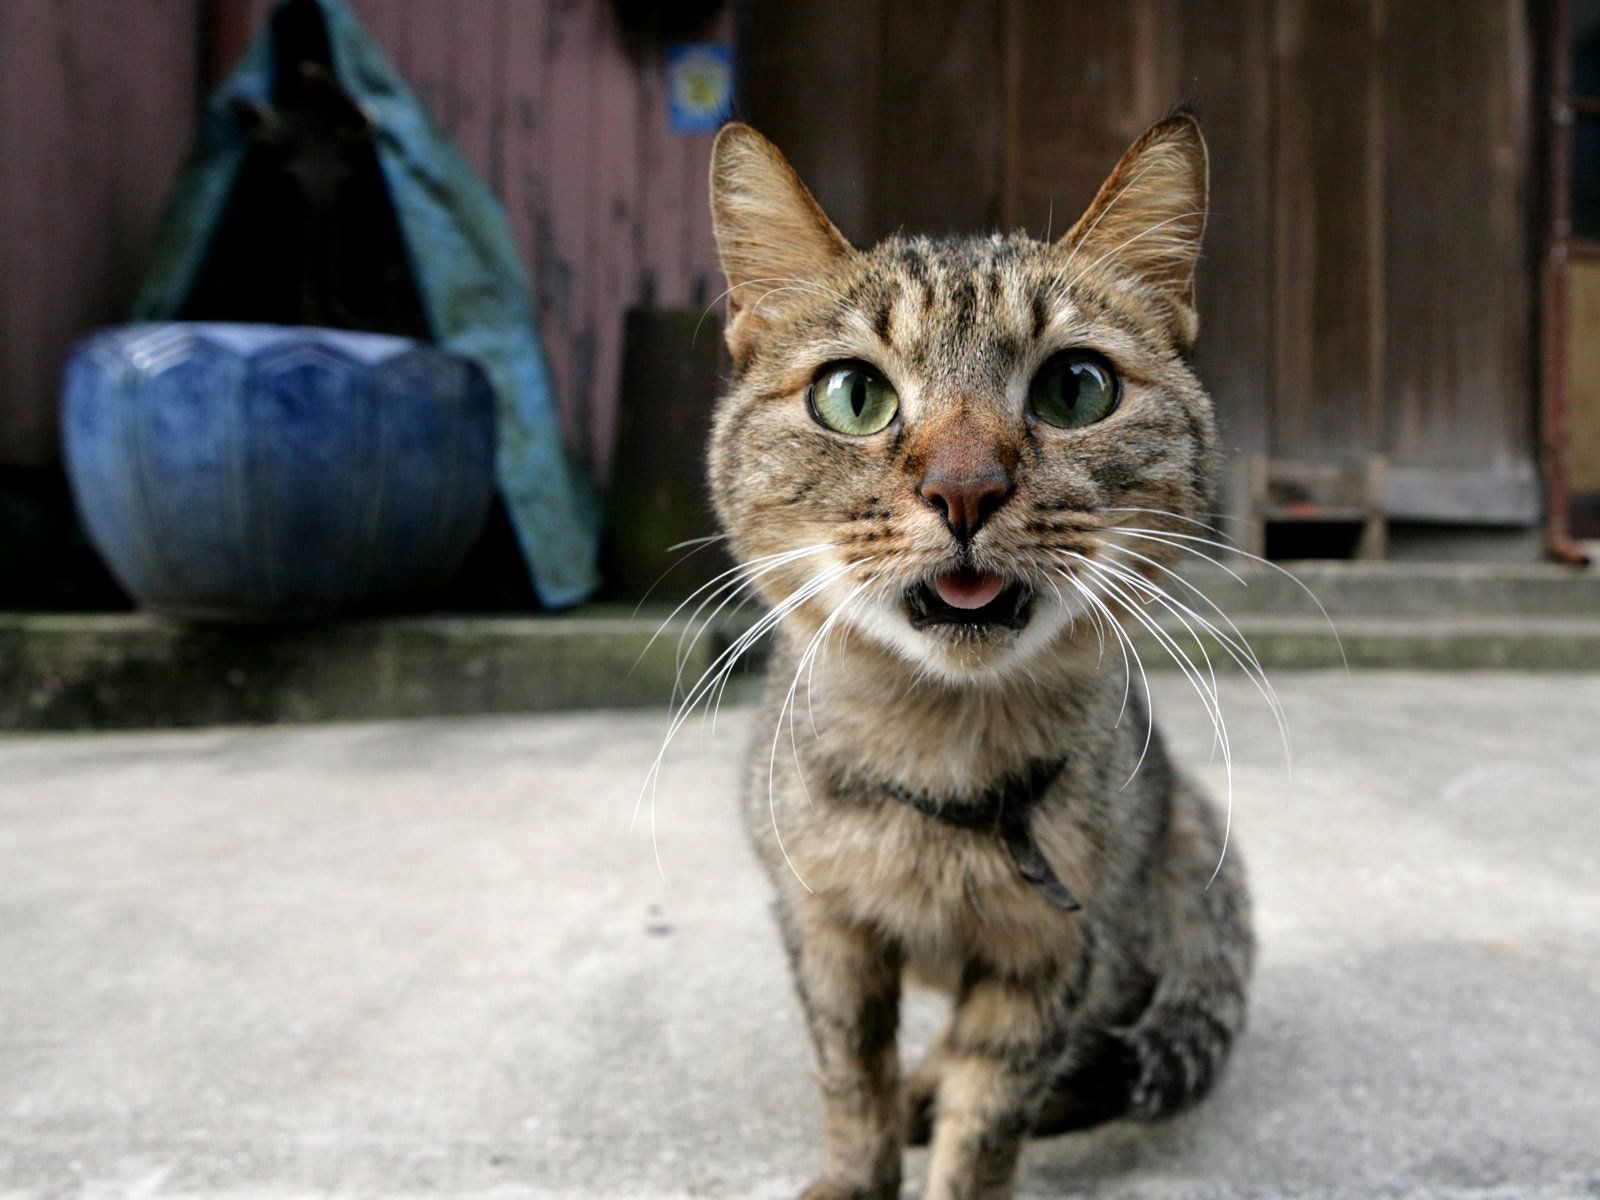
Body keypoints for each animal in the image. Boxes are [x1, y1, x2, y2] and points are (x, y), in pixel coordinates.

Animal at [700, 115, 1248, 1200]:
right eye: (854, 395)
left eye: (1076, 387)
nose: (964, 489)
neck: (942, 761)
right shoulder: (823, 929)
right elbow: (849, 1077)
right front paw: (856, 1172)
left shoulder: (1051, 953)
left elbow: (990, 1112)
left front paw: (947, 1141)